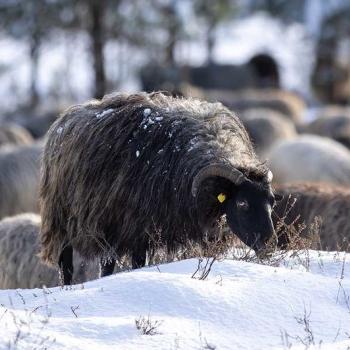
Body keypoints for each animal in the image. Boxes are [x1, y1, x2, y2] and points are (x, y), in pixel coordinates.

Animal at [39, 91, 278, 284]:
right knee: (67, 265)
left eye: (272, 202)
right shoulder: (135, 227)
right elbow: (135, 264)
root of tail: (64, 118)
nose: (269, 245)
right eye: (242, 203)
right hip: (64, 219)